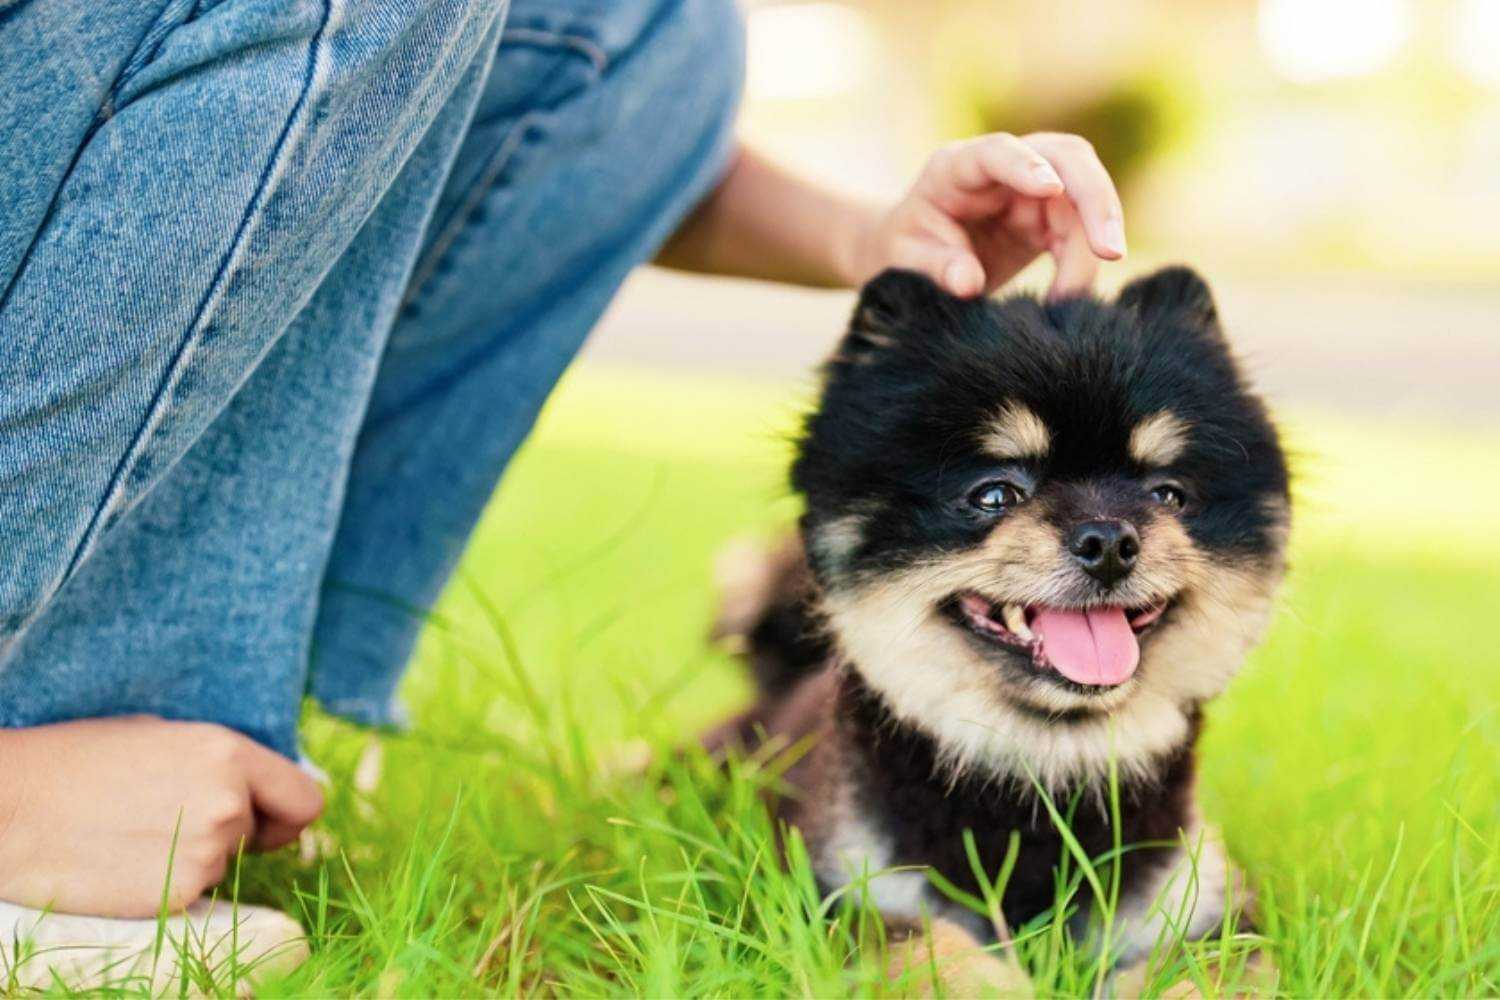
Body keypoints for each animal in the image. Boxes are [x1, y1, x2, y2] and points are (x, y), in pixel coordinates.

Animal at [711, 265, 1290, 995]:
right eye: (993, 495)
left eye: (1168, 495)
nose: (1108, 540)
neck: (1044, 773)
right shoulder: (838, 892)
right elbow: (925, 944)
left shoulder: (1202, 912)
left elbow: (1197, 971)